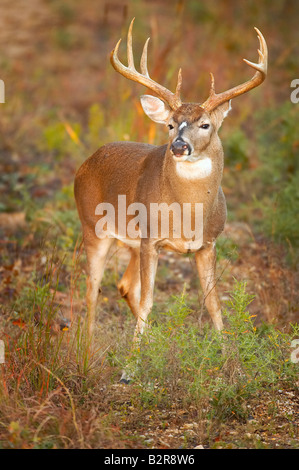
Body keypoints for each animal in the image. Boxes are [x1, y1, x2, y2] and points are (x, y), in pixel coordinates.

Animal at [74, 19, 268, 382]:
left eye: (205, 124)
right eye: (169, 124)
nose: (178, 146)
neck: (189, 215)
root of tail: (85, 163)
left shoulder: (208, 243)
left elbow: (213, 303)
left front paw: (233, 365)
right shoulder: (152, 240)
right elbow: (149, 300)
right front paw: (129, 370)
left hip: (131, 243)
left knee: (125, 285)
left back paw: (154, 344)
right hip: (93, 228)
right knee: (93, 291)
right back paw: (88, 357)